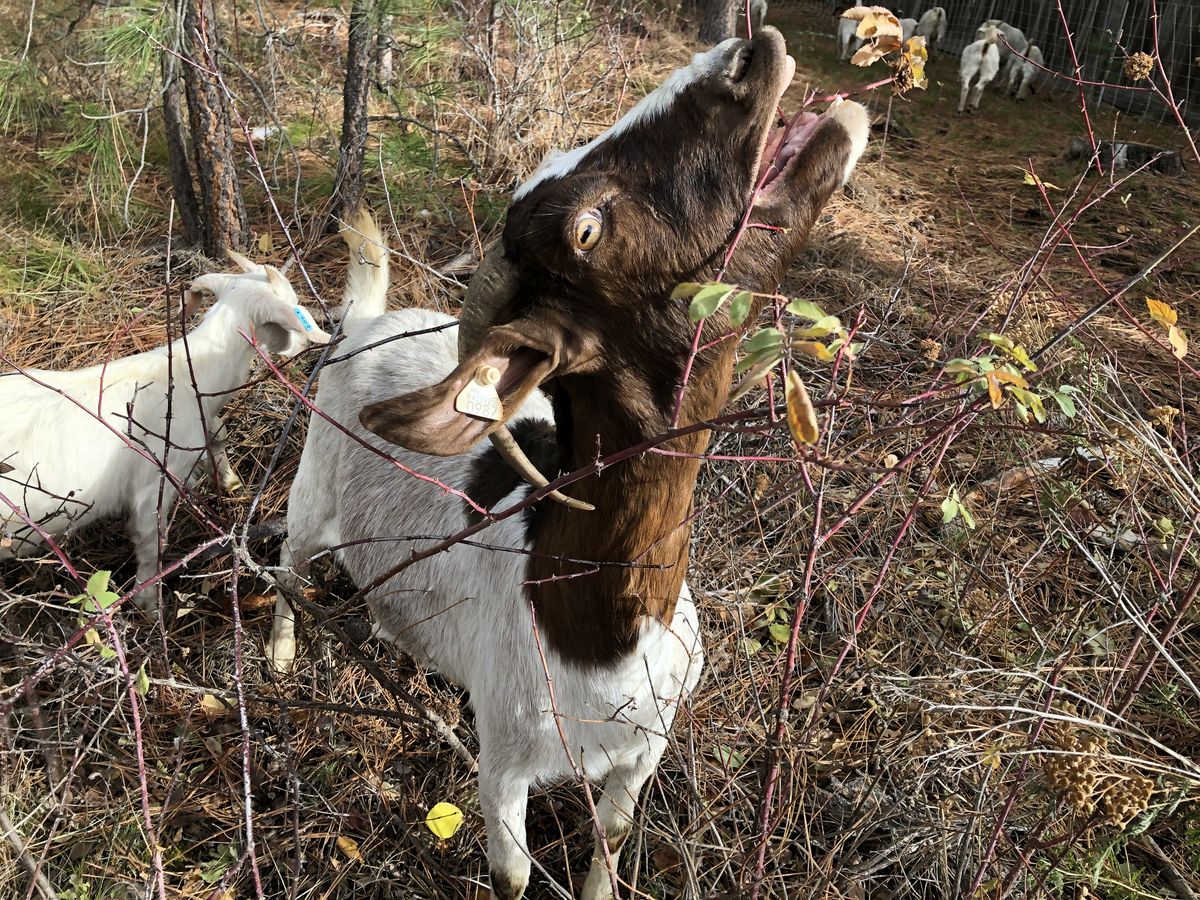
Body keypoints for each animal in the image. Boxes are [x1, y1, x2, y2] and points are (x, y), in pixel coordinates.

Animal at [0, 256, 328, 609]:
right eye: (293, 305)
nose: (303, 344)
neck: (189, 371)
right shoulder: (156, 482)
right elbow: (151, 543)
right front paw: (148, 604)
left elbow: (218, 434)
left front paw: (229, 481)